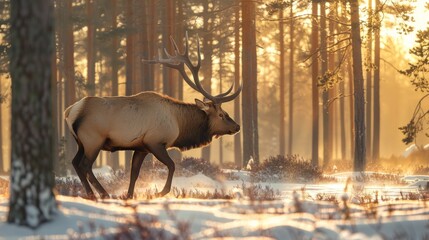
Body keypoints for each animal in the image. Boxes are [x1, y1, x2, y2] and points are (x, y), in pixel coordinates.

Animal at [64, 32, 241, 200]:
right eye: (221, 114)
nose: (237, 126)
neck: (179, 124)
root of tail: (69, 111)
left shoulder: (141, 148)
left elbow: (134, 174)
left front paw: (129, 195)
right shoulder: (155, 141)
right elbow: (172, 165)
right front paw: (159, 192)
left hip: (81, 142)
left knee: (75, 163)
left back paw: (92, 194)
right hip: (93, 139)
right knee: (85, 165)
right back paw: (103, 193)